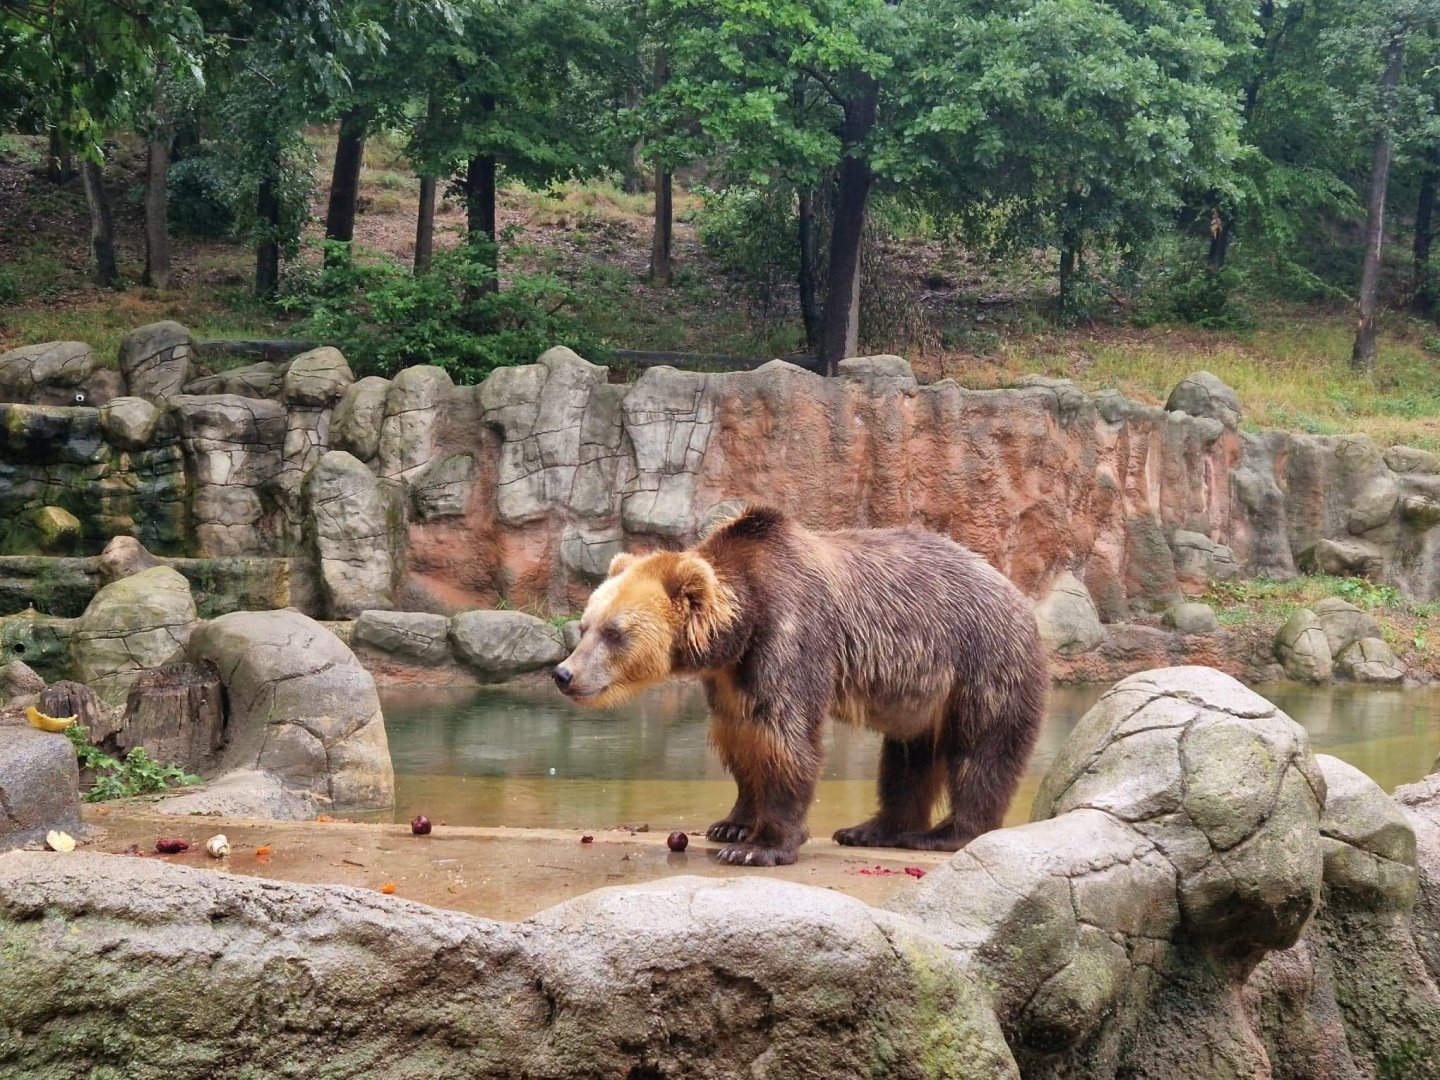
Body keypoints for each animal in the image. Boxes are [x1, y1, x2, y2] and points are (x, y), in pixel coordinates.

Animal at [553, 506, 1048, 867]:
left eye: (615, 632)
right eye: (585, 625)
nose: (563, 674)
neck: (743, 622)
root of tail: (1017, 596)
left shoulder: (790, 633)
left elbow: (784, 737)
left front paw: (759, 846)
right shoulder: (731, 674)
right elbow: (740, 736)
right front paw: (732, 823)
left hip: (983, 663)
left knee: (982, 752)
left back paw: (946, 833)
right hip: (922, 698)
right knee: (907, 759)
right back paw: (871, 829)